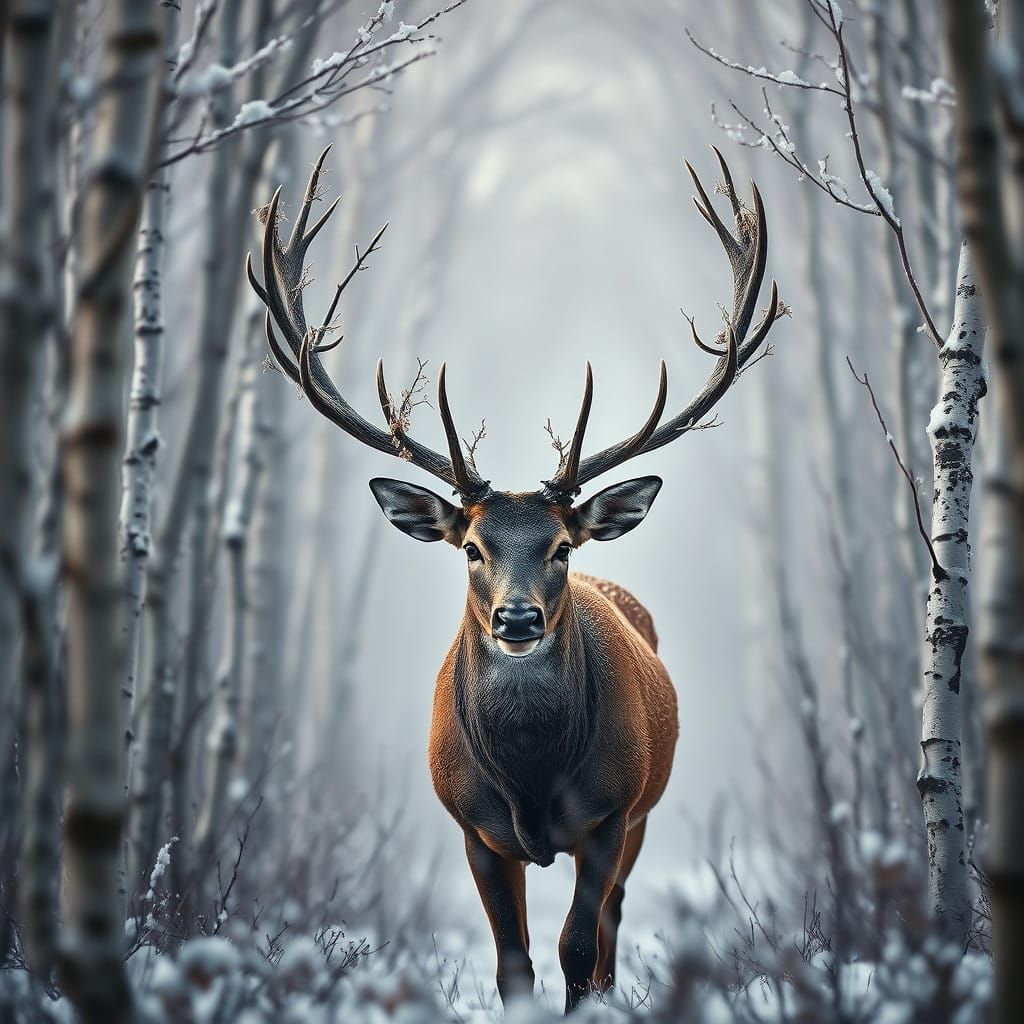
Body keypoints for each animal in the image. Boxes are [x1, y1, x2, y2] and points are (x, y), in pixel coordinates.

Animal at [247, 146, 780, 1013]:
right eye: (471, 546)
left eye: (562, 546)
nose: (518, 620)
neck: (530, 773)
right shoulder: (472, 828)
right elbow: (513, 962)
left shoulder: (610, 813)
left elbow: (577, 948)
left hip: (644, 813)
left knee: (611, 930)